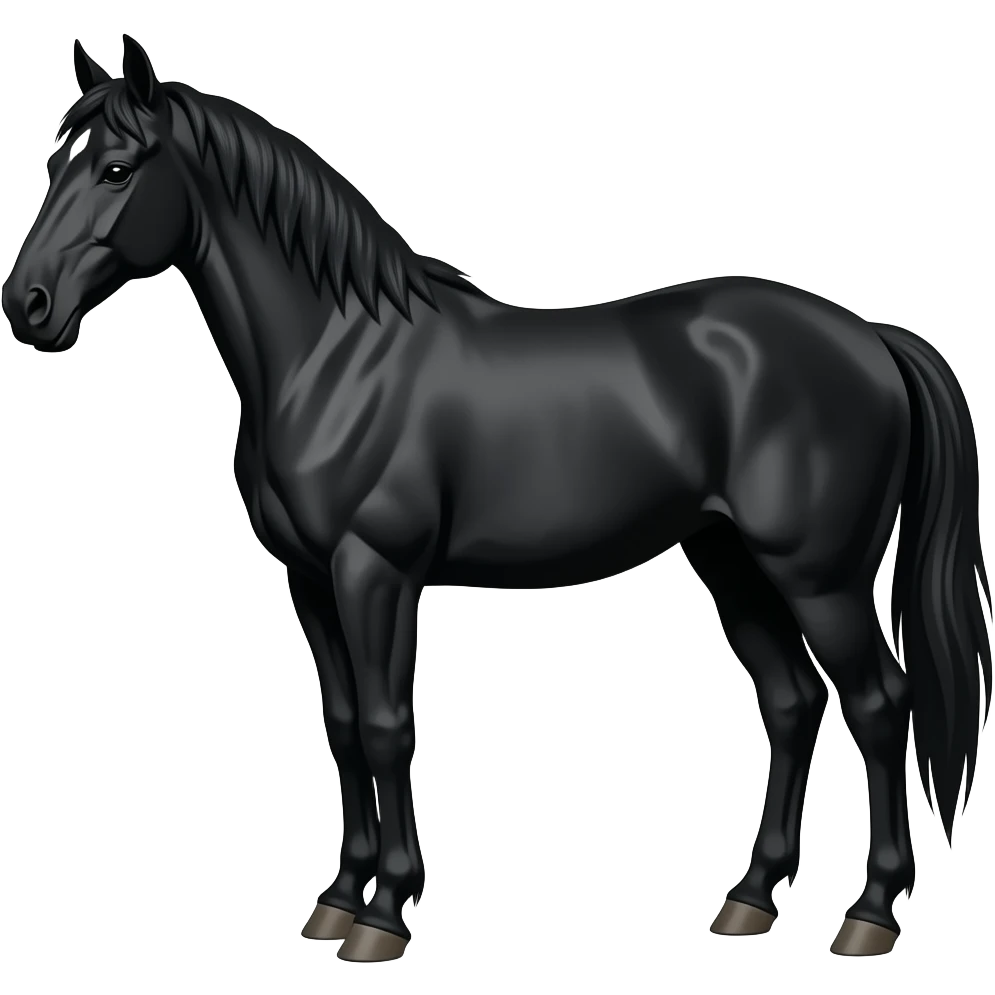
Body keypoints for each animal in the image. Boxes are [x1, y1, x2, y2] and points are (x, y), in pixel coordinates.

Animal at [2, 35, 990, 962]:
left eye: (117, 168)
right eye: (55, 164)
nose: (28, 305)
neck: (337, 355)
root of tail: (870, 337)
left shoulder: (376, 573)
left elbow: (387, 726)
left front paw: (384, 915)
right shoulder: (310, 580)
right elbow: (342, 727)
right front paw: (336, 899)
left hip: (820, 578)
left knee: (879, 705)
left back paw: (868, 914)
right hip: (731, 561)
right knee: (790, 704)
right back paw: (749, 898)